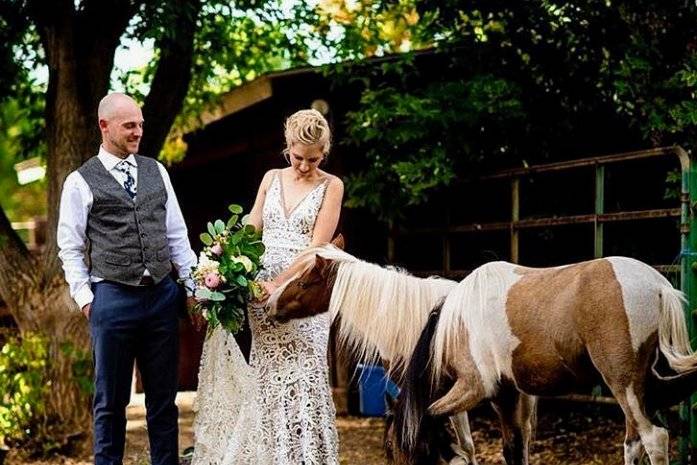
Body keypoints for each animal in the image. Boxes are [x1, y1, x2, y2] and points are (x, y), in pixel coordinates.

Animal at [386, 256, 696, 464]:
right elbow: (514, 448)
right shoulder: (506, 395)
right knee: (633, 442)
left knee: (654, 438)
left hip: (623, 383)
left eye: (390, 447)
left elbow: (429, 416)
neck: (454, 326)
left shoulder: (474, 388)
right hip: (638, 388)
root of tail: (658, 286)